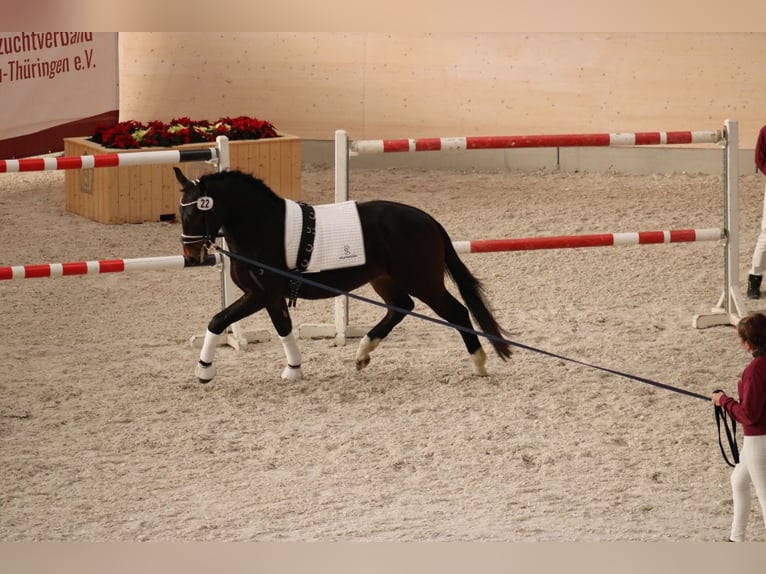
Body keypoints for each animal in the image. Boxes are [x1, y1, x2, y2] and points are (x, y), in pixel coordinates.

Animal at [174, 167, 512, 383]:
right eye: (181, 212)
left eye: (196, 212)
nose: (191, 257)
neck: (263, 227)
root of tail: (427, 219)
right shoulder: (271, 297)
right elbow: (283, 328)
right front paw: (293, 370)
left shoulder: (260, 294)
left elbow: (218, 320)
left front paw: (204, 370)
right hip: (384, 279)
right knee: (400, 307)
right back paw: (362, 353)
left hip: (422, 281)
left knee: (457, 312)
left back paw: (479, 363)